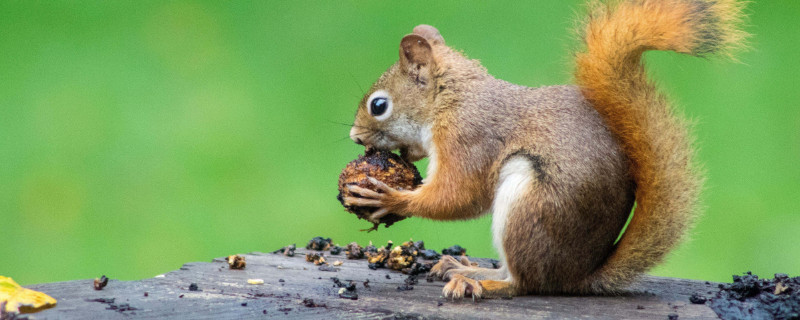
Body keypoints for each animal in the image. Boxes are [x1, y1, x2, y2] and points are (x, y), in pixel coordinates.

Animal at [340, 0, 748, 296]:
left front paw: (390, 198)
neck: (451, 98)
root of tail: (576, 277)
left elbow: (460, 195)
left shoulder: (469, 136)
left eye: (379, 105)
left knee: (523, 284)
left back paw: (480, 282)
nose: (356, 137)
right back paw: (465, 267)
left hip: (529, 207)